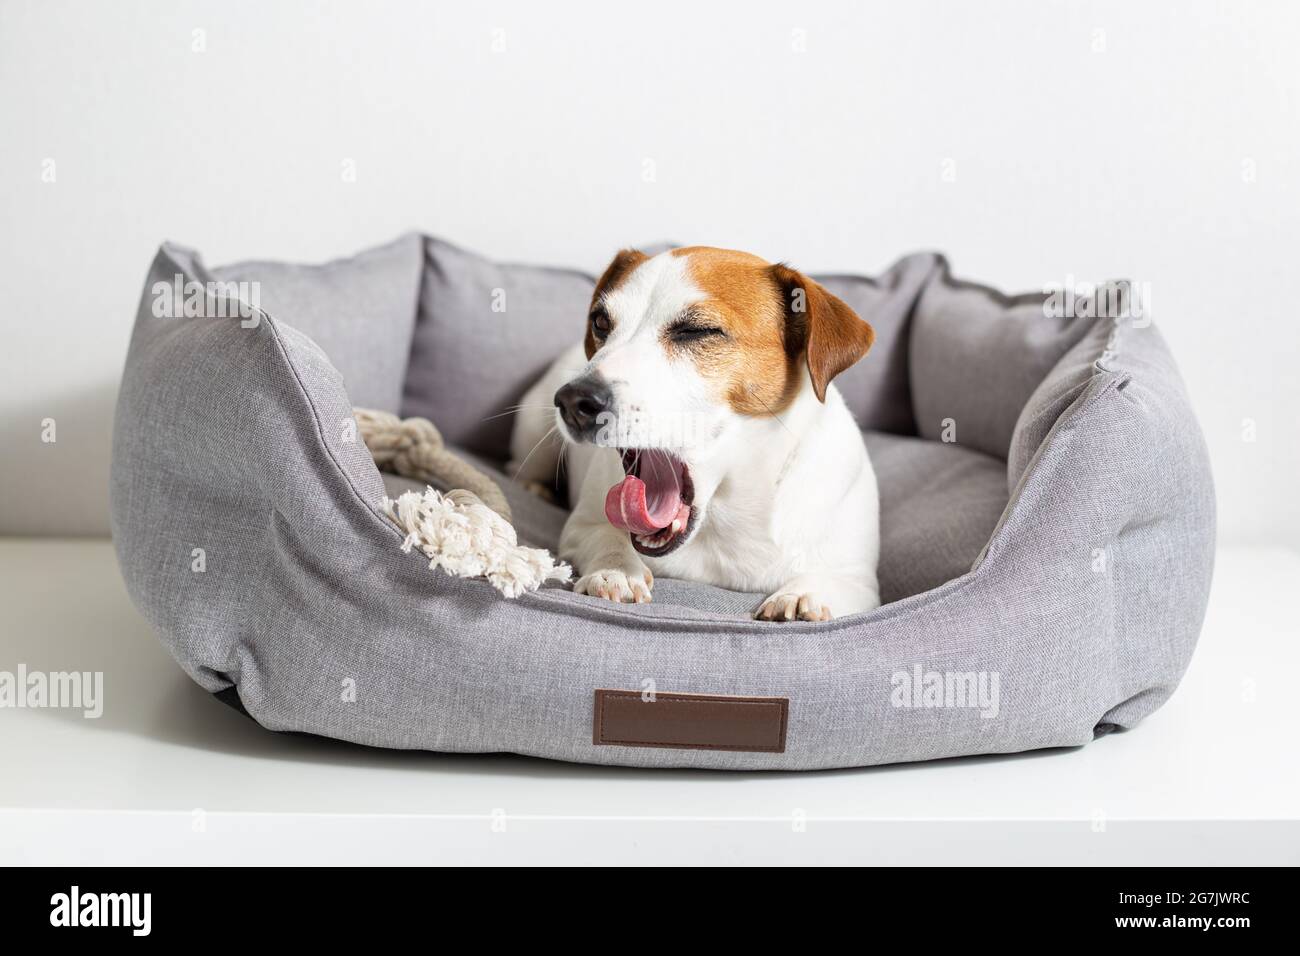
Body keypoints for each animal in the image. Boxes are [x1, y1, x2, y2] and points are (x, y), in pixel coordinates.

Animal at [509, 244, 883, 621]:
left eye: (695, 331)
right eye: (601, 322)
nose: (574, 400)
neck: (725, 512)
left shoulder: (861, 582)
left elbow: (833, 582)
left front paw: (803, 595)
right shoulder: (581, 528)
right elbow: (605, 537)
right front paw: (615, 570)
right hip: (533, 428)